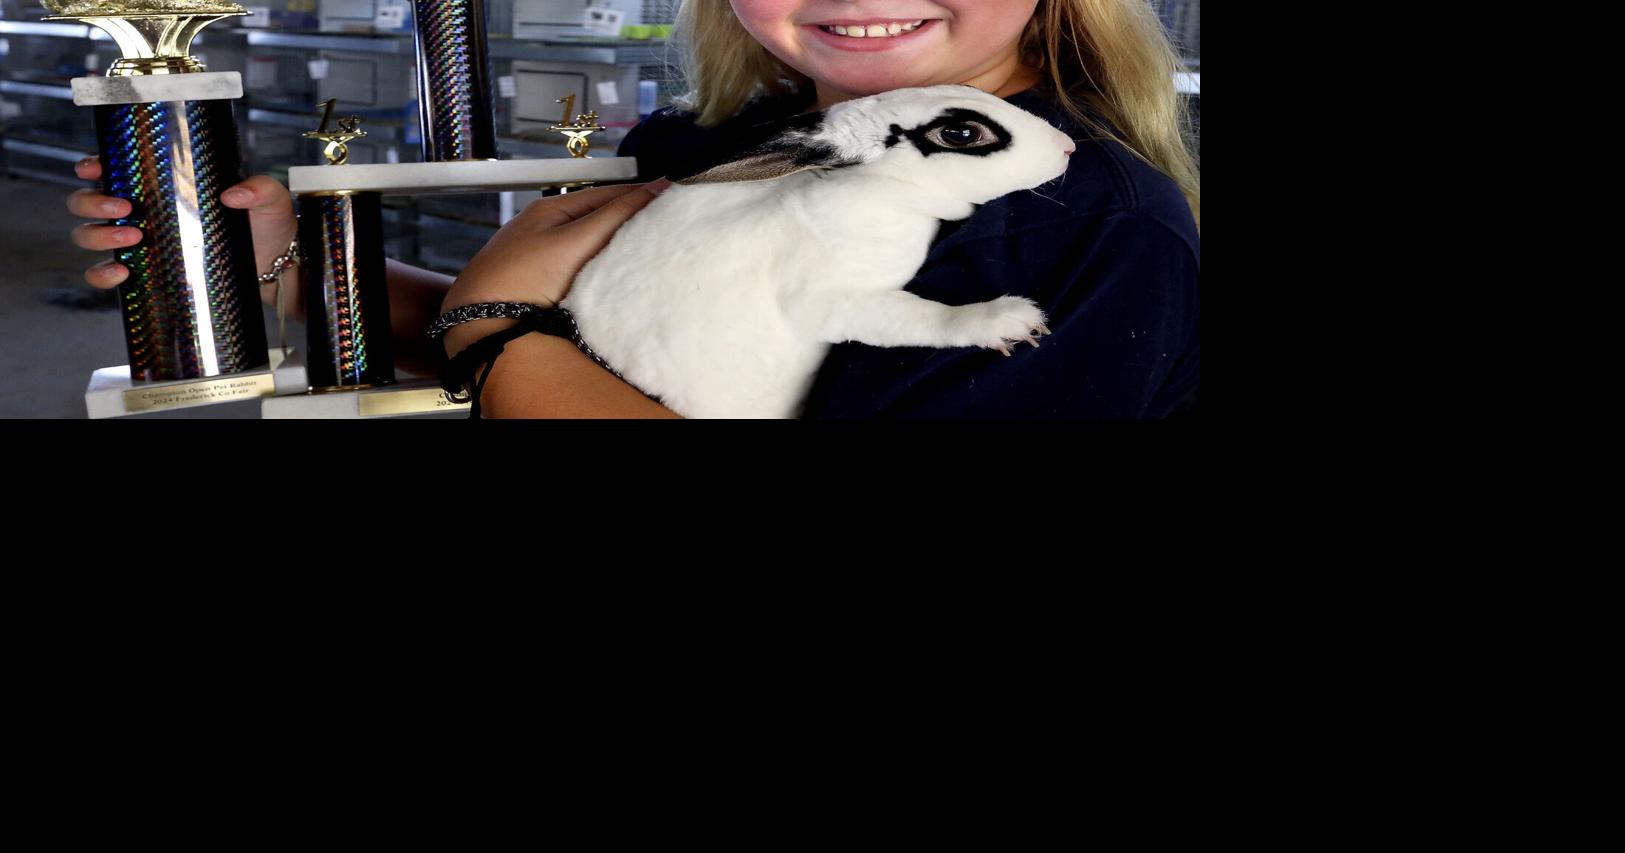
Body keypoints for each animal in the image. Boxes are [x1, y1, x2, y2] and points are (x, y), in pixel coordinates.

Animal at [560, 84, 1078, 419]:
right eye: (961, 134)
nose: (1067, 146)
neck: (883, 189)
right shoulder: (831, 299)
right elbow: (922, 318)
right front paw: (1008, 321)